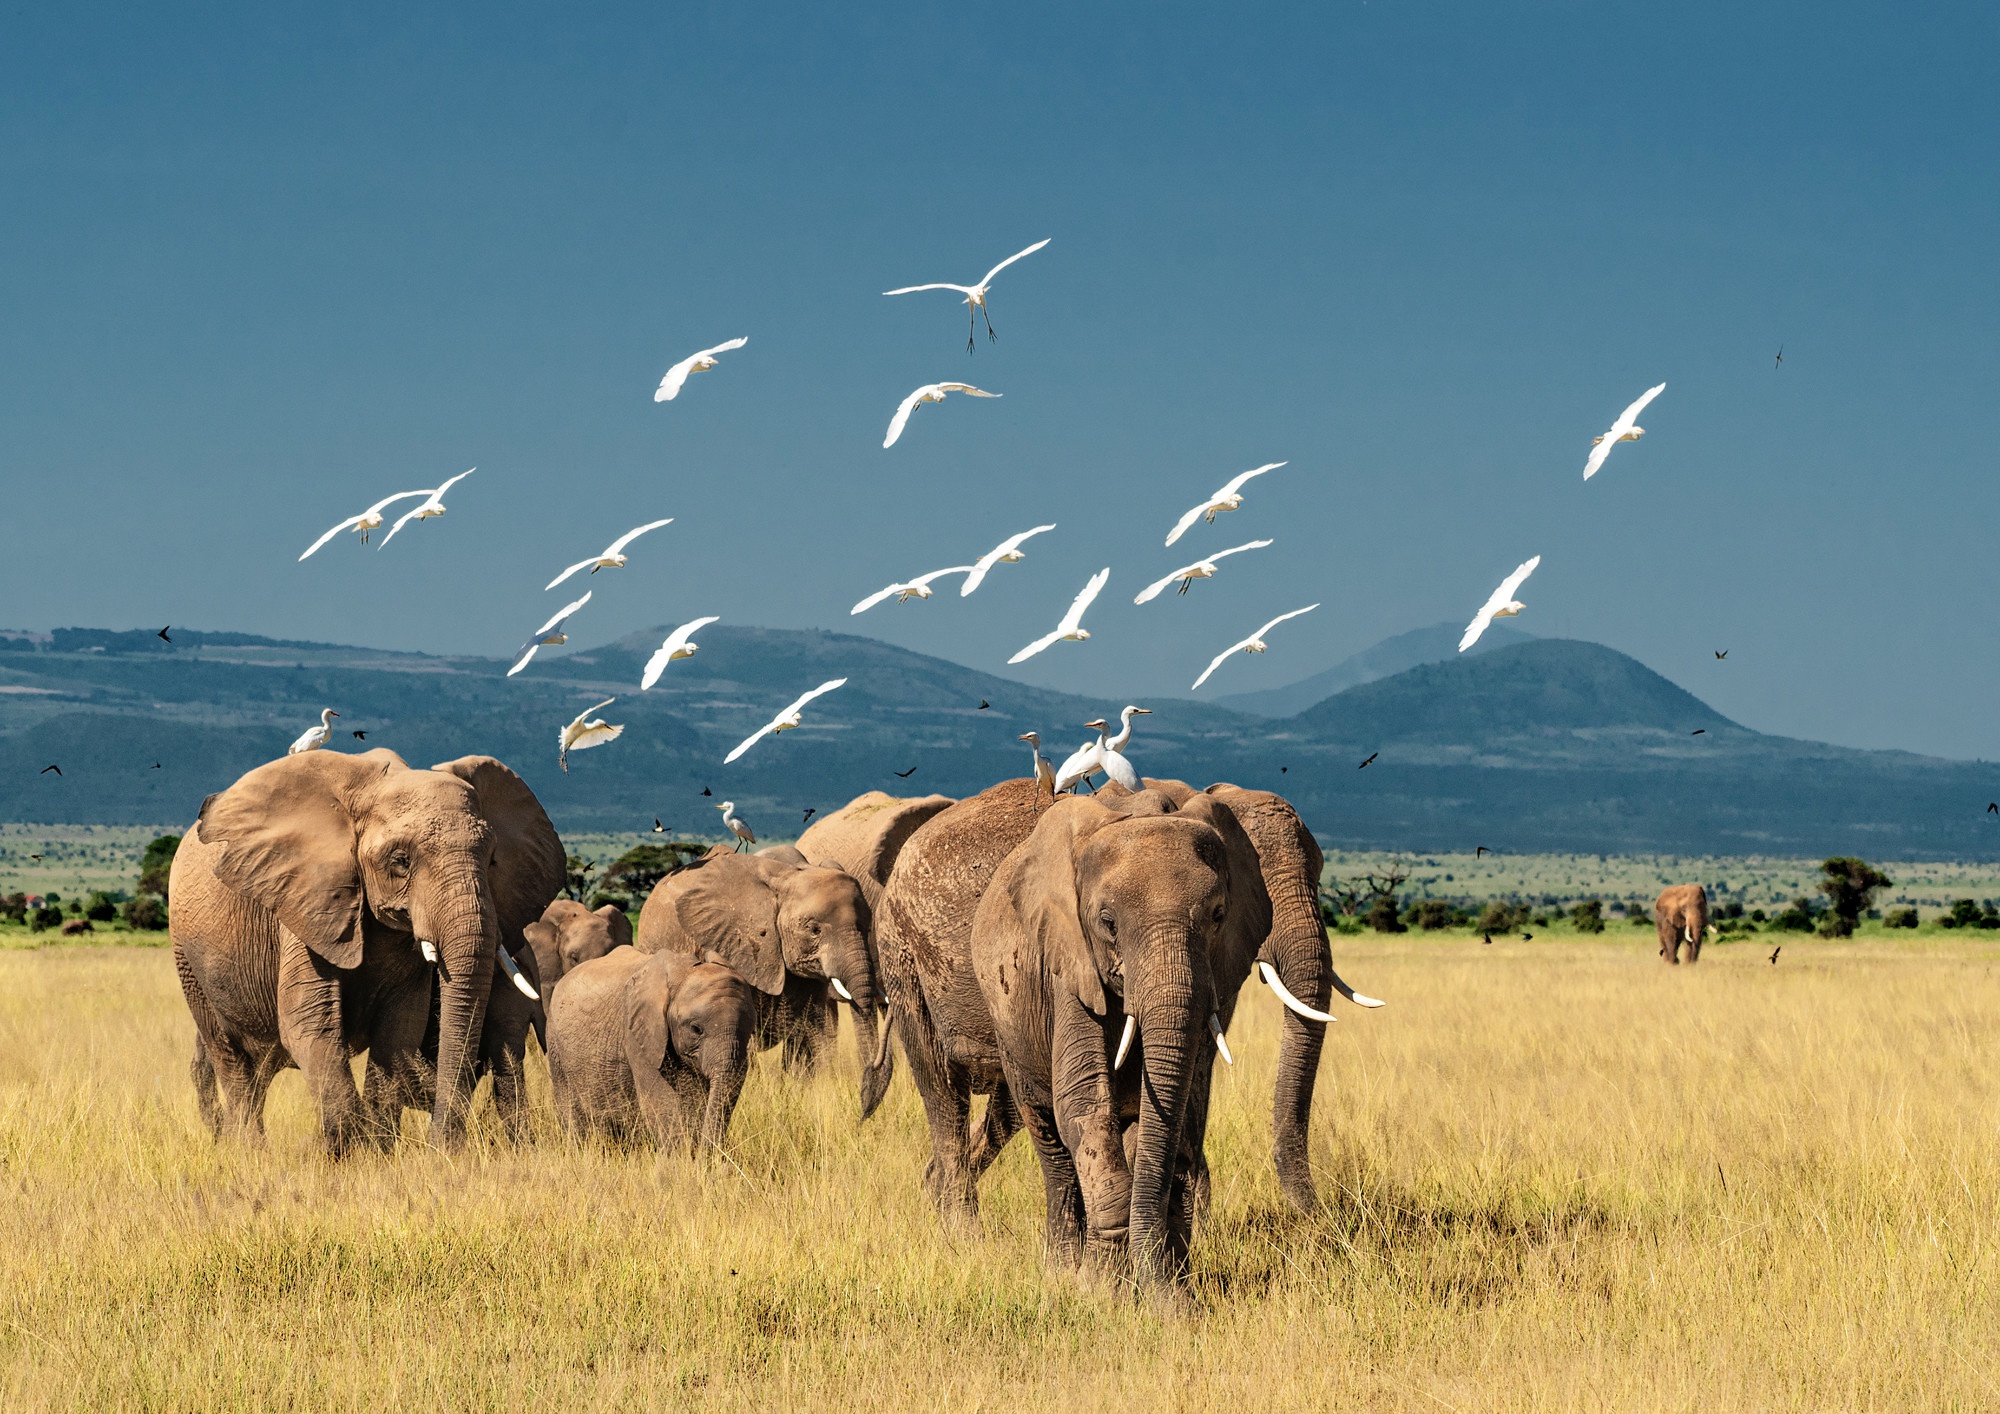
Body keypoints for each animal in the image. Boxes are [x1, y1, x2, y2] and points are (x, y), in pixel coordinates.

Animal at [172, 748, 564, 1160]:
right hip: (188, 961)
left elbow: (399, 1029)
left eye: (491, 860)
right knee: (230, 1056)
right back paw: (248, 1151)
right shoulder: (305, 901)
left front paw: (378, 1152)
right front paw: (335, 1150)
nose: (441, 1147)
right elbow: (309, 1023)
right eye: (400, 861)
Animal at [548, 944, 756, 1160]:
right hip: (555, 1045)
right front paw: (681, 1160)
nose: (707, 1157)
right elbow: (661, 1103)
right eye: (696, 1029)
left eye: (751, 1028)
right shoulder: (637, 1033)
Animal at [640, 852, 892, 1120]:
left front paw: (796, 1096)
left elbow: (804, 1035)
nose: (864, 1107)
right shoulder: (735, 947)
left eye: (867, 926)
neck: (787, 874)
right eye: (814, 930)